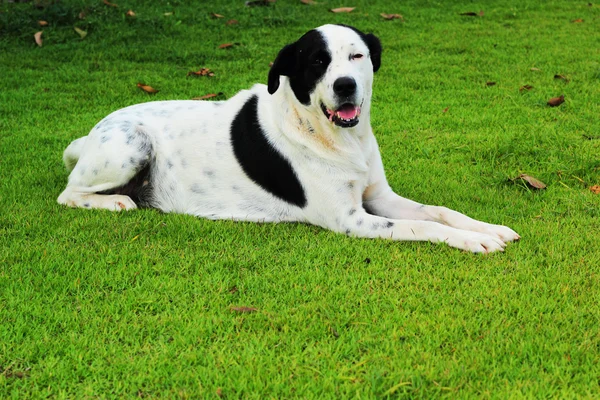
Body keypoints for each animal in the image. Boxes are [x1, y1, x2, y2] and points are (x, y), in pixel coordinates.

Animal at [59, 23, 520, 253]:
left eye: (357, 55)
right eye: (317, 62)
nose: (346, 86)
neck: (334, 136)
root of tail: (92, 132)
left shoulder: (379, 196)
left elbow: (438, 211)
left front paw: (489, 227)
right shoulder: (351, 219)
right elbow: (420, 226)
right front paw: (474, 240)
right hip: (131, 146)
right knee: (68, 193)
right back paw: (116, 201)